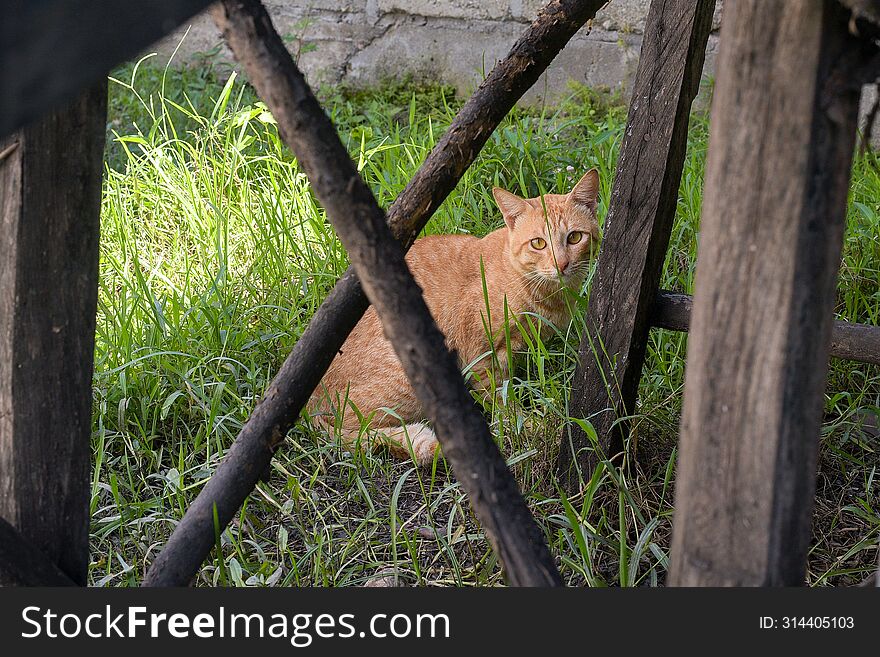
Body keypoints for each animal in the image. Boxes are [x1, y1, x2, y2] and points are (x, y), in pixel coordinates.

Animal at [306, 169, 600, 466]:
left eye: (575, 238)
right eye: (538, 243)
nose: (561, 264)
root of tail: (311, 401)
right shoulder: (482, 352)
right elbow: (501, 399)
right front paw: (527, 425)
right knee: (352, 430)